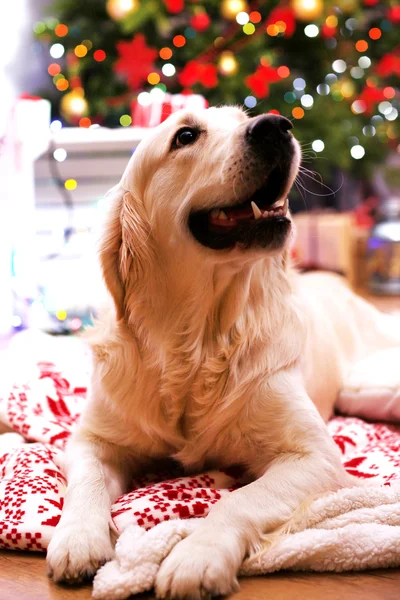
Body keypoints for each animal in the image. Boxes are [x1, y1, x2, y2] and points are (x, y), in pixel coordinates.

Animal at [46, 105, 396, 596]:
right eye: (185, 136)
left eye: (244, 116)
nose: (277, 125)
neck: (198, 341)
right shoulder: (92, 439)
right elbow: (88, 482)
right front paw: (76, 537)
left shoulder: (315, 457)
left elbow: (238, 501)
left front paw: (198, 555)